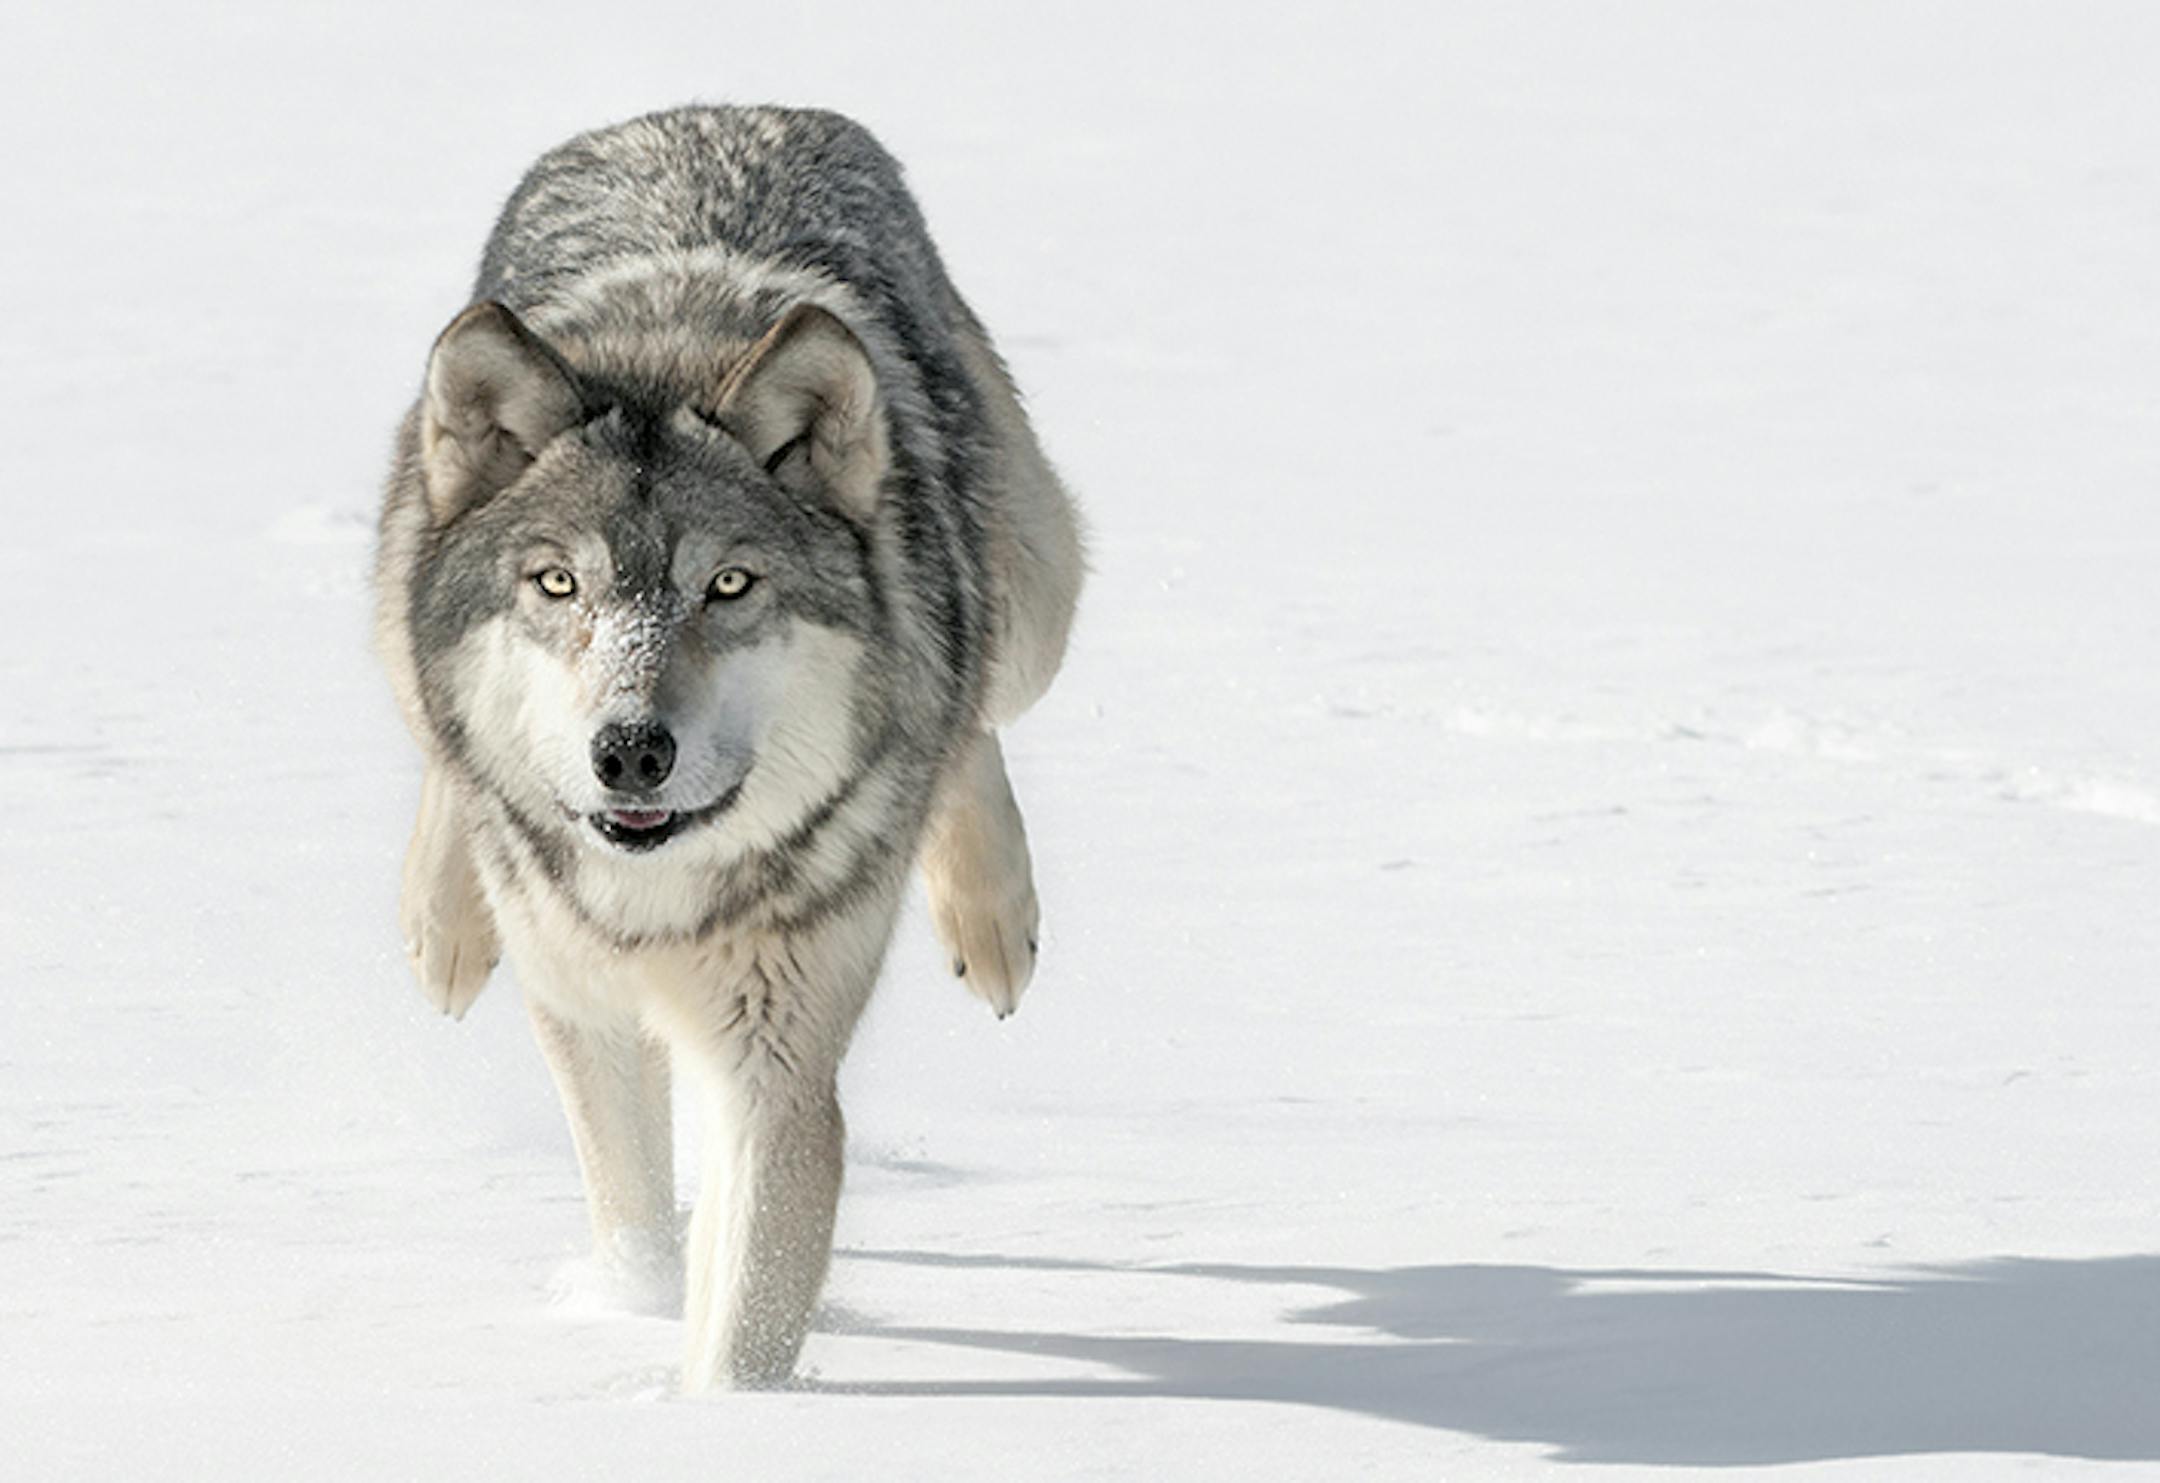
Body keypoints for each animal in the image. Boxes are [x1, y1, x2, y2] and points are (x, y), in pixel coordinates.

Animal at [373, 105, 1084, 1390]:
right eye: (559, 585)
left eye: (731, 585)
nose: (629, 752)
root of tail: (711, 109)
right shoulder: (590, 1013)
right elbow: (637, 1217)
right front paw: (631, 1312)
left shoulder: (776, 1062)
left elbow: (743, 1307)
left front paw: (720, 1406)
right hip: (393, 607)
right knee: (442, 758)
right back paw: (445, 929)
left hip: (1039, 606)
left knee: (973, 706)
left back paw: (993, 924)